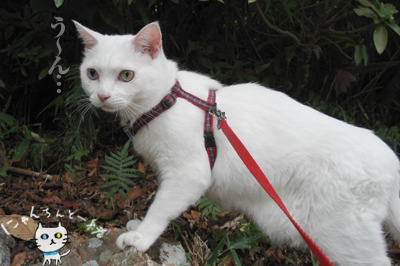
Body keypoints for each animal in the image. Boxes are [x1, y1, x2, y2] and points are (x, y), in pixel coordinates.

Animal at [74, 21, 400, 266]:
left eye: (126, 75)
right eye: (92, 74)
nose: (102, 96)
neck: (164, 101)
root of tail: (391, 160)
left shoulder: (188, 175)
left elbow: (160, 207)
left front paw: (142, 236)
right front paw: (138, 226)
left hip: (341, 236)